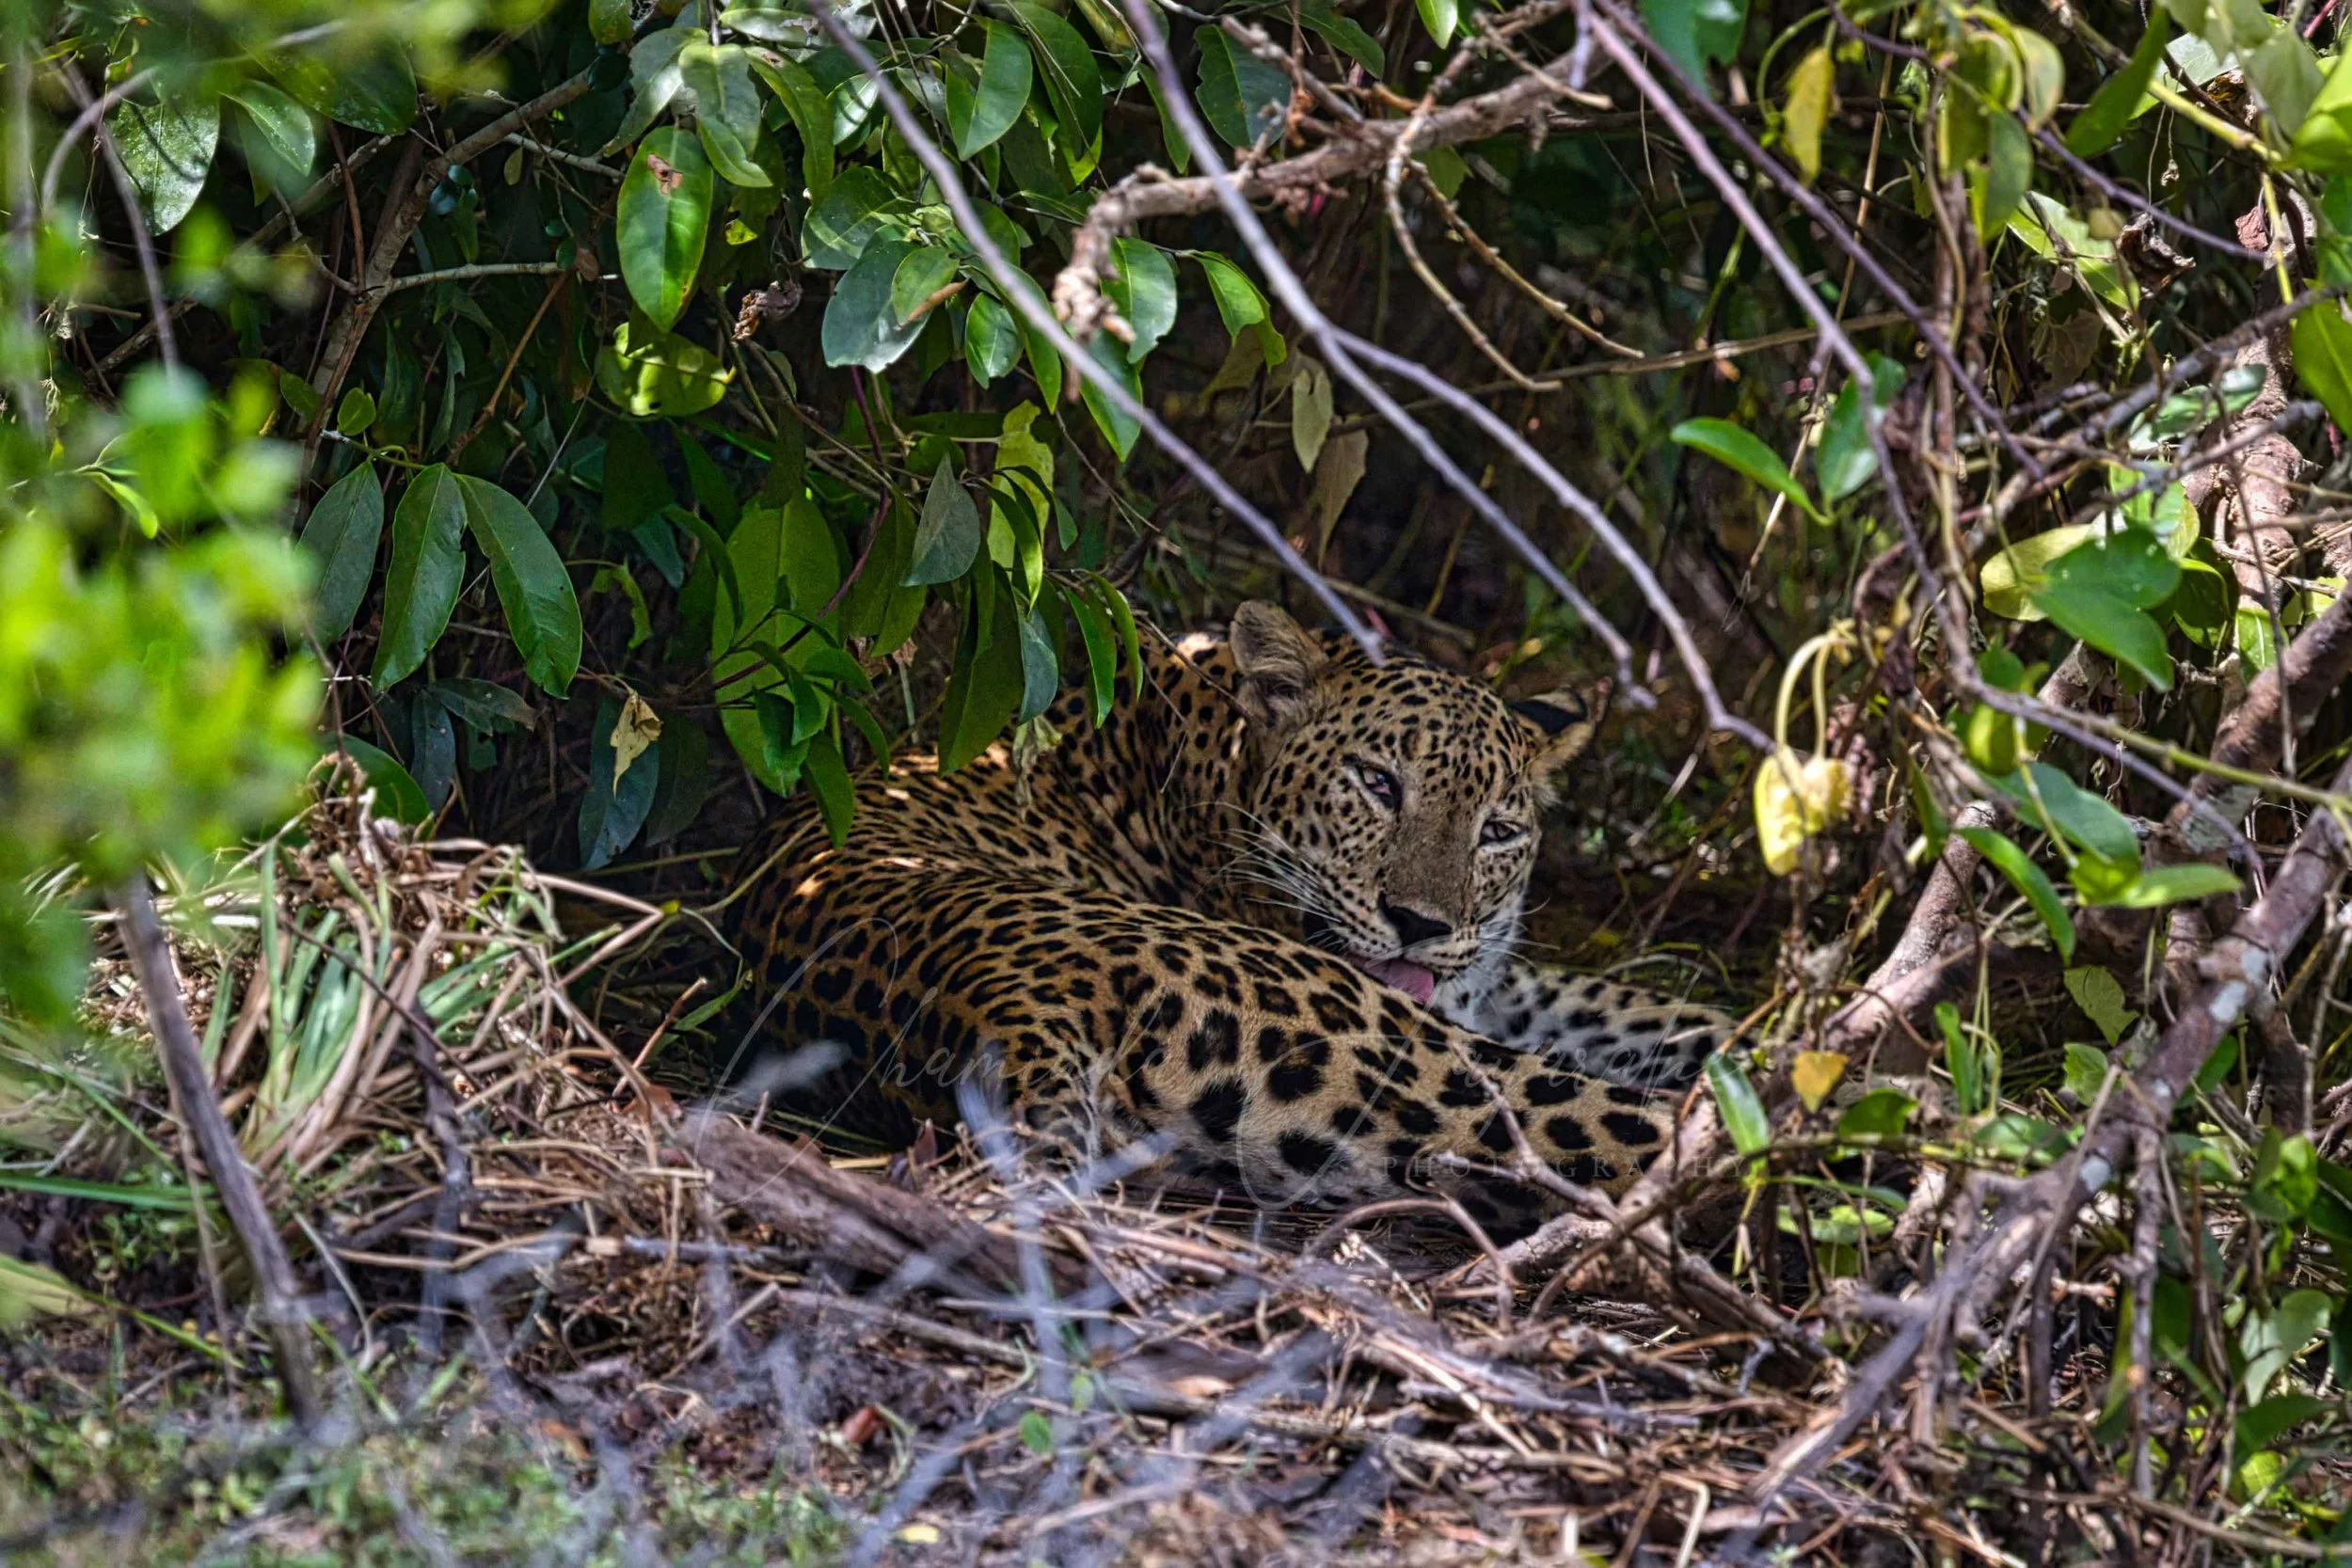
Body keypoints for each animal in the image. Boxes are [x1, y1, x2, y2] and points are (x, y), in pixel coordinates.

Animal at [725, 600, 1743, 1220]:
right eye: (1378, 784)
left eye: (1496, 829)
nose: (1419, 922)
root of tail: (993, 997)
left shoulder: (1488, 981)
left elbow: (1645, 1010)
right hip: (1391, 1052)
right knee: (1640, 1131)